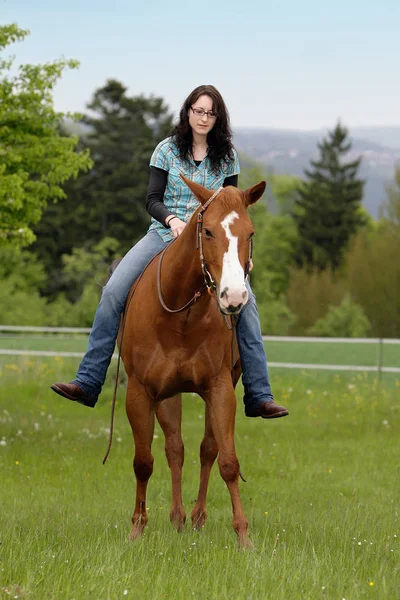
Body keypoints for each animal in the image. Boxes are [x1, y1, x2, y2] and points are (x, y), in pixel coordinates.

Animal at [122, 175, 266, 548]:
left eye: (250, 233)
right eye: (209, 232)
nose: (234, 297)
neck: (181, 316)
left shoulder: (220, 389)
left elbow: (227, 460)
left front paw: (244, 537)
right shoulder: (140, 392)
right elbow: (143, 461)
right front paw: (136, 528)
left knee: (204, 450)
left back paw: (195, 518)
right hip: (167, 395)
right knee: (174, 449)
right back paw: (177, 518)